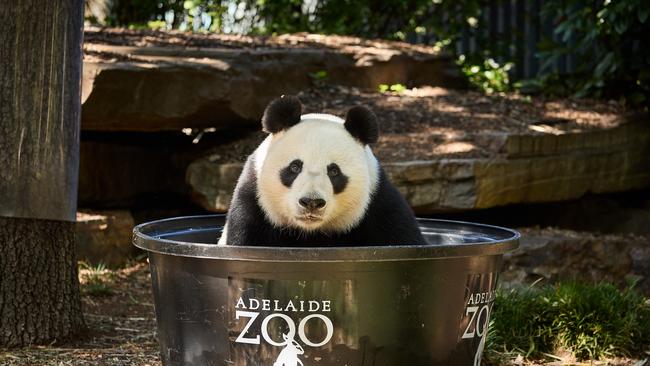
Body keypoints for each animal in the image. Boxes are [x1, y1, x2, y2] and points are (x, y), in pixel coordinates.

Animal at [218, 96, 426, 247]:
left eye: (334, 171)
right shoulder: (253, 203)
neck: (310, 233)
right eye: (295, 167)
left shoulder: (380, 203)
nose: (311, 202)